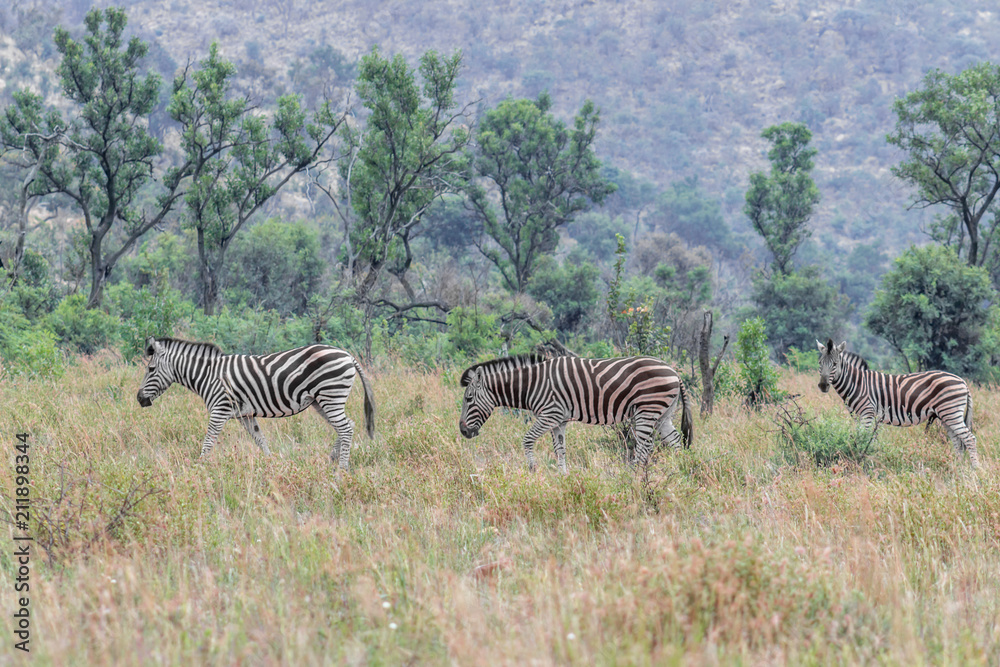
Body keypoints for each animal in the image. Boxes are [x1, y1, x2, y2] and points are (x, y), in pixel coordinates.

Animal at [136, 337, 375, 470]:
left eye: (151, 369)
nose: (139, 399)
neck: (209, 374)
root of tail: (347, 355)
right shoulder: (245, 415)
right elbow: (261, 441)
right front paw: (272, 467)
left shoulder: (220, 409)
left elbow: (208, 443)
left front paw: (199, 468)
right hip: (321, 400)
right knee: (348, 426)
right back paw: (331, 461)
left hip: (330, 396)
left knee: (345, 428)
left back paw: (341, 470)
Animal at [458, 355, 693, 472]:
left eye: (468, 399)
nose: (463, 431)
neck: (533, 384)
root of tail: (673, 371)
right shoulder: (558, 421)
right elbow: (560, 450)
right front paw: (563, 477)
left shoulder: (550, 414)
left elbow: (527, 439)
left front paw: (532, 469)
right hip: (663, 414)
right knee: (675, 440)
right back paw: (680, 471)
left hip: (647, 409)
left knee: (645, 446)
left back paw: (632, 477)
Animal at [816, 339, 978, 467]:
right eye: (820, 363)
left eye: (835, 364)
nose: (823, 385)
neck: (858, 384)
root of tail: (962, 381)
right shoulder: (860, 416)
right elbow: (868, 439)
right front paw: (870, 460)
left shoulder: (867, 413)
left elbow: (864, 438)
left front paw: (862, 460)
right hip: (946, 416)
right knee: (958, 442)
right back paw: (958, 468)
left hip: (951, 412)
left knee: (969, 439)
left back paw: (974, 470)